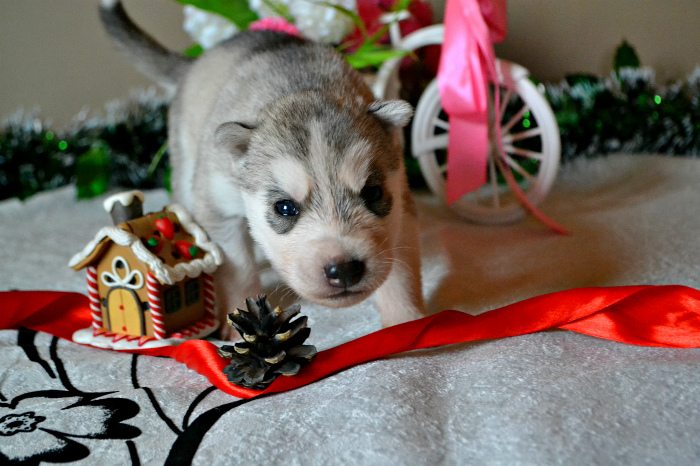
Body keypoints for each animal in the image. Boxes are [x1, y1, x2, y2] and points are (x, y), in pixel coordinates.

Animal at [99, 0, 427, 338]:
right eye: (284, 207)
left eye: (372, 193)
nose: (345, 269)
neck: (299, 87)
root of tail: (197, 62)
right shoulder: (221, 208)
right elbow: (238, 270)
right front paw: (239, 327)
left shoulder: (400, 205)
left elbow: (401, 269)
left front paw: (406, 322)